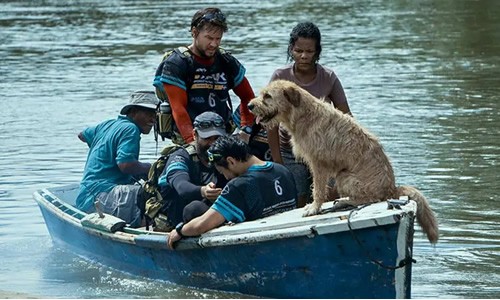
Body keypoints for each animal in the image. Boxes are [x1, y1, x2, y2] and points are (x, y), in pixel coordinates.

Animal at [249, 79, 438, 244]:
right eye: (262, 94)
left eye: (268, 96)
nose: (250, 106)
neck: (303, 114)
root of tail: (393, 189)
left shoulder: (318, 163)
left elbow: (318, 189)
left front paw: (314, 208)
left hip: (345, 177)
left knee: (371, 199)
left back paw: (345, 201)